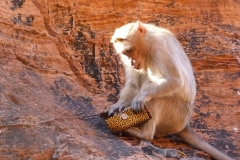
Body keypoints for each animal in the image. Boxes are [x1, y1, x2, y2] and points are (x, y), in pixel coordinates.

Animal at [108, 21, 233, 160]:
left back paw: (142, 134)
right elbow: (133, 84)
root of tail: (185, 125)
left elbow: (175, 81)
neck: (148, 43)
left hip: (176, 115)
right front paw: (118, 106)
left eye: (129, 50)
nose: (131, 62)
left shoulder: (160, 48)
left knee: (154, 99)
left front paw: (140, 98)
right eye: (124, 53)